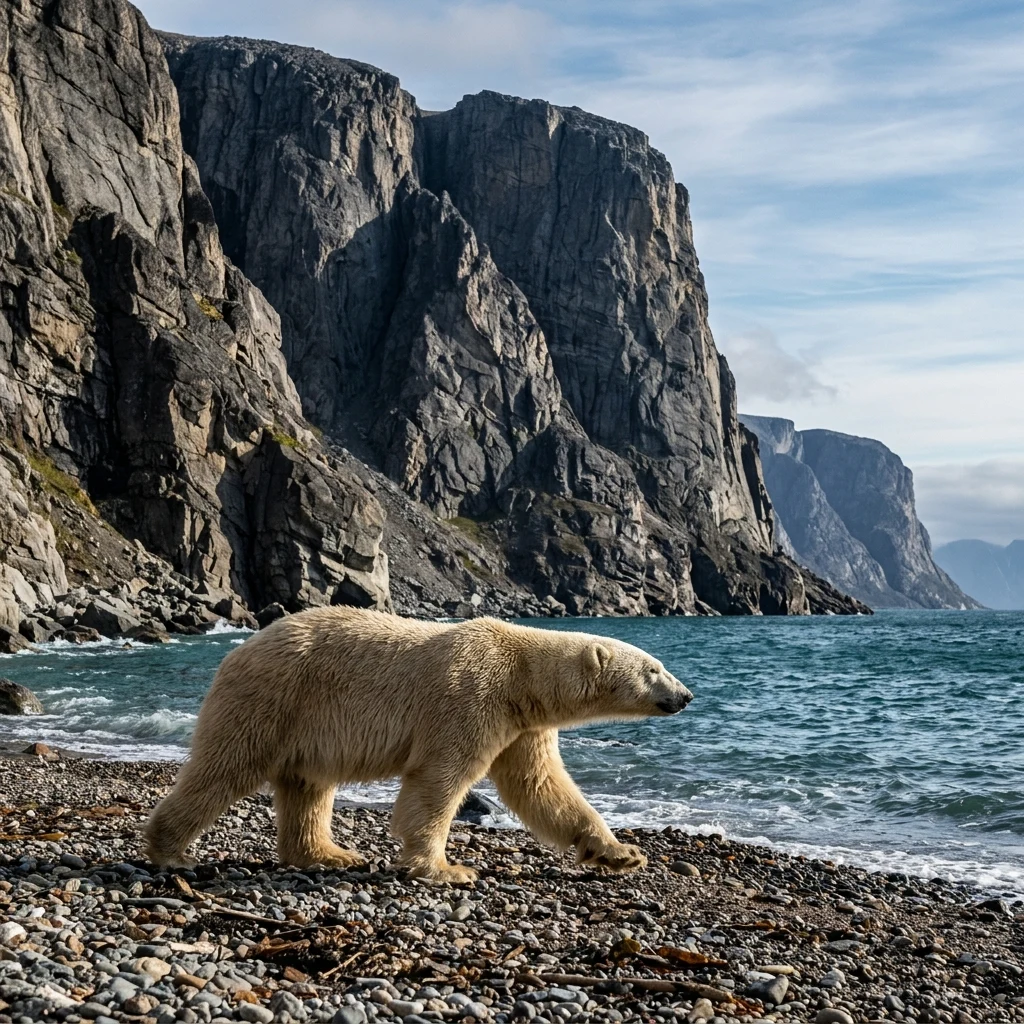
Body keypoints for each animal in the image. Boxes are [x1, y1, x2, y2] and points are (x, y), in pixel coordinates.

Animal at [144, 607, 693, 882]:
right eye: (654, 669)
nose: (686, 695)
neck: (521, 675)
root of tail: (240, 649)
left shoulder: (523, 726)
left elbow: (540, 787)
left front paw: (622, 853)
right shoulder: (470, 699)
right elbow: (439, 781)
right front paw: (448, 868)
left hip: (304, 723)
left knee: (307, 786)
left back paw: (329, 853)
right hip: (274, 697)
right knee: (225, 766)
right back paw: (172, 851)